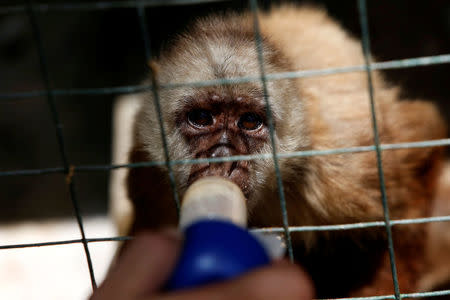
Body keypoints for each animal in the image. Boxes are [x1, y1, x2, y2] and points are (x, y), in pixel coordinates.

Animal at [110, 5, 450, 298]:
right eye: (201, 118)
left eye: (250, 122)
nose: (222, 158)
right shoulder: (149, 173)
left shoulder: (346, 162)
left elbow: (423, 143)